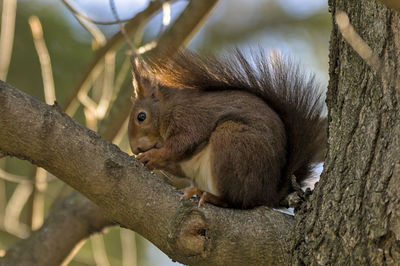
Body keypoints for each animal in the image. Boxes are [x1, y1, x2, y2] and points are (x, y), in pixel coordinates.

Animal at [128, 48, 324, 209]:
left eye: (141, 117)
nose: (135, 148)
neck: (167, 107)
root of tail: (268, 194)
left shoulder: (189, 117)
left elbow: (183, 143)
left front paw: (152, 155)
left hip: (231, 142)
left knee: (237, 200)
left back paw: (210, 196)